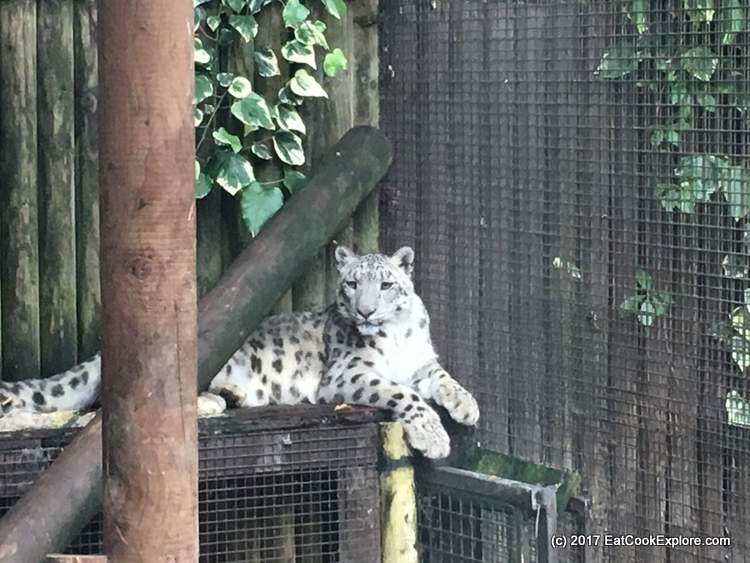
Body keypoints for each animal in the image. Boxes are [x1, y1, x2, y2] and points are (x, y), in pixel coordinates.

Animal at [0, 245, 479, 458]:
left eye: (386, 284)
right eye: (351, 283)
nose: (364, 311)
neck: (397, 334)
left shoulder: (422, 363)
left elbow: (442, 378)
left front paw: (467, 406)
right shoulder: (347, 374)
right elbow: (403, 394)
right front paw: (434, 436)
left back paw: (224, 399)